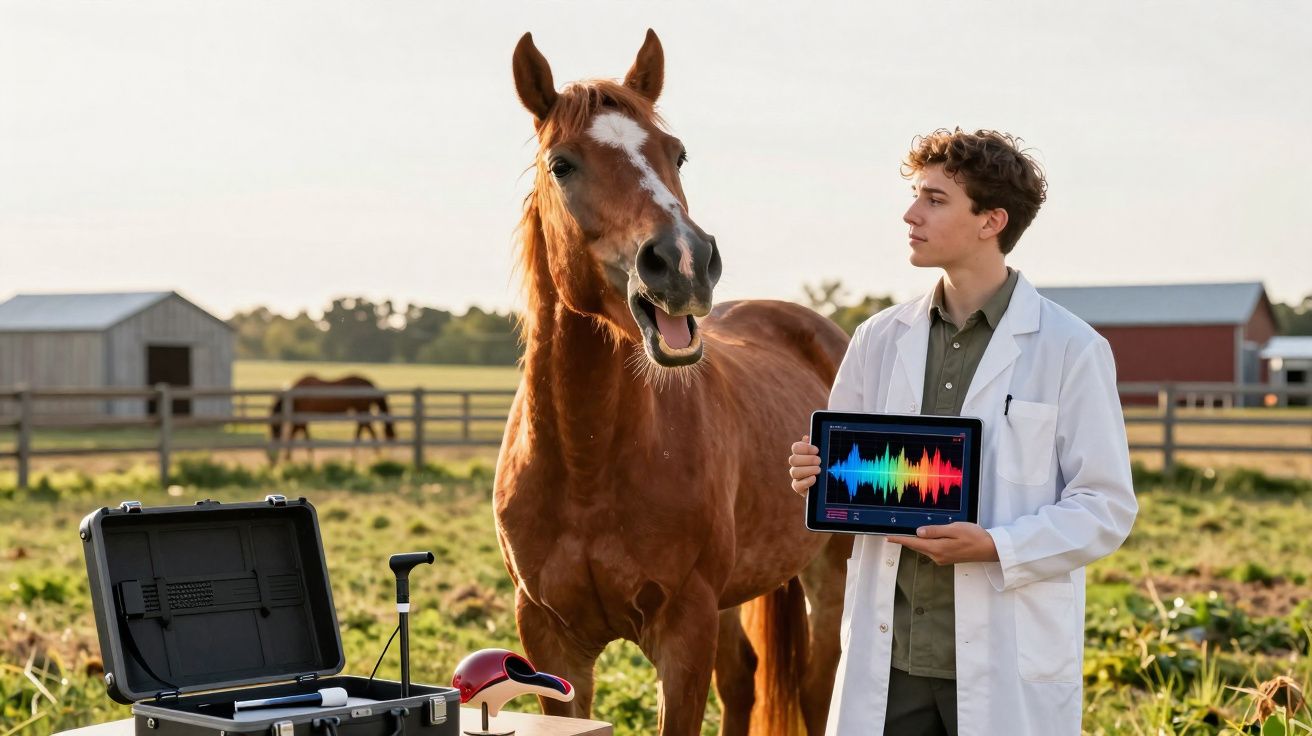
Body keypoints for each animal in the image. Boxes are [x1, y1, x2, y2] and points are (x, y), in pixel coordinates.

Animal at [493, 30, 853, 736]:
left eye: (676, 153)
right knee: (742, 680)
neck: (587, 460)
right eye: (562, 165)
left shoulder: (683, 633)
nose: (683, 261)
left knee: (814, 687)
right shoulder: (551, 641)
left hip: (827, 572)